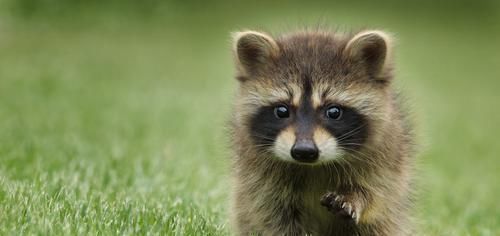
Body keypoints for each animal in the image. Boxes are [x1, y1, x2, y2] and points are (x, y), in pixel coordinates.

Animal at [229, 28, 414, 235]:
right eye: (282, 111)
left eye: (333, 112)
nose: (304, 151)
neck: (313, 167)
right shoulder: (259, 176)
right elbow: (272, 214)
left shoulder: (386, 159)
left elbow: (377, 194)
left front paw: (355, 197)